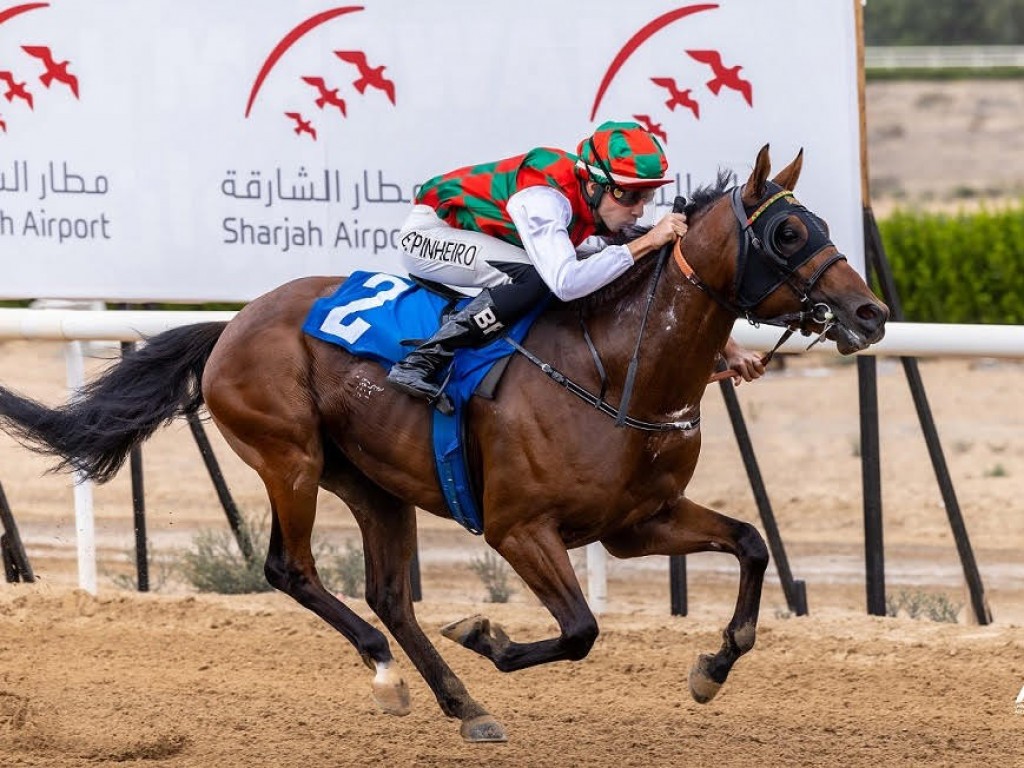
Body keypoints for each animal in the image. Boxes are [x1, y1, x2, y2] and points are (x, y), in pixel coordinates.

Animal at [0, 144, 888, 741]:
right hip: (291, 457)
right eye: (787, 233)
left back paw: (462, 703)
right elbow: (580, 632)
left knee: (389, 594)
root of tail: (232, 326)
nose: (871, 313)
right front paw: (486, 636)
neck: (616, 371)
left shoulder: (639, 523)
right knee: (293, 570)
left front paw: (712, 667)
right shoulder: (518, 528)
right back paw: (390, 674)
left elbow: (750, 545)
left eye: (820, 224)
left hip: (375, 485)